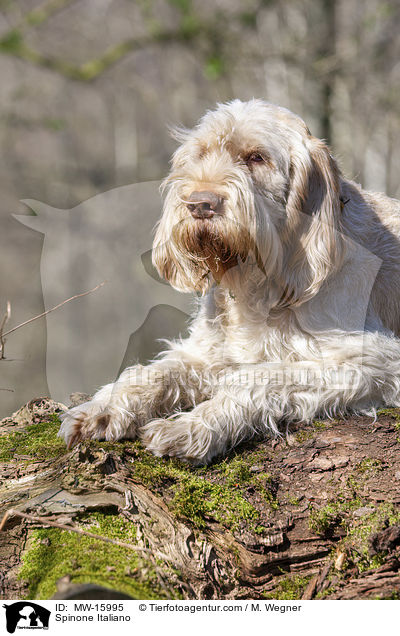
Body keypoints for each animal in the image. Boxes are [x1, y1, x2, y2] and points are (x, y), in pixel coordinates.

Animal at [57, 100, 400, 468]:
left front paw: (192, 428)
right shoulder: (209, 353)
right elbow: (152, 373)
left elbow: (257, 379)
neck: (257, 279)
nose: (199, 204)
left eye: (256, 157)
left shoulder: (375, 360)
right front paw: (102, 407)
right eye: (201, 154)